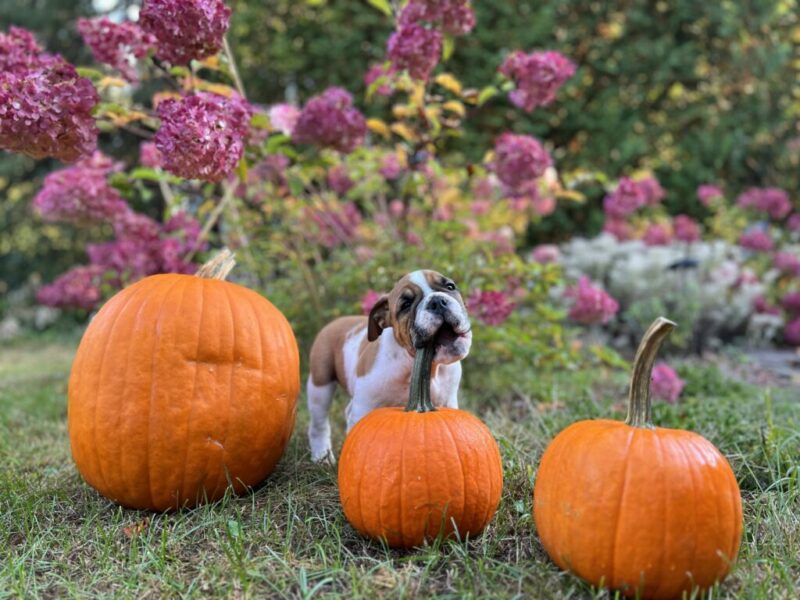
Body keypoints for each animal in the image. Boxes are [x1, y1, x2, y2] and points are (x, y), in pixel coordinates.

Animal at [304, 270, 468, 462]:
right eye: (406, 305)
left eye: (450, 286)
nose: (437, 301)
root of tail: (335, 322)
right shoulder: (363, 407)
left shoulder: (448, 400)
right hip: (320, 386)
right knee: (319, 424)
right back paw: (321, 457)